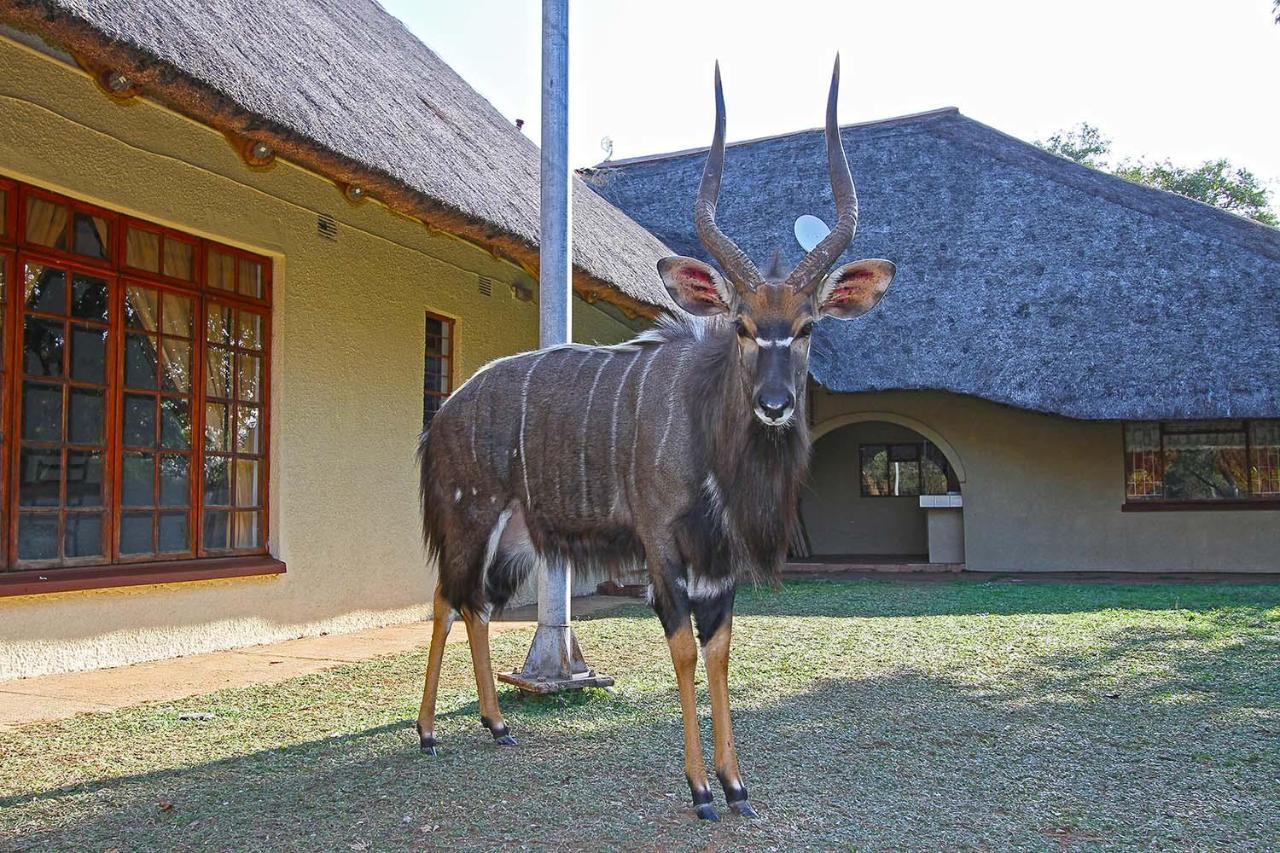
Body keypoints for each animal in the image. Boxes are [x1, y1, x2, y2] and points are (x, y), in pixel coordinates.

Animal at [414, 58, 896, 819]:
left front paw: (738, 786)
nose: (775, 404)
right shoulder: (662, 548)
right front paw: (700, 789)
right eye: (742, 326)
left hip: (511, 539)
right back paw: (430, 732)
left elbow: (720, 650)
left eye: (808, 327)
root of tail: (443, 417)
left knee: (475, 605)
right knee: (445, 597)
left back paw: (496, 724)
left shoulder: (720, 563)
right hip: (468, 519)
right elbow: (684, 651)